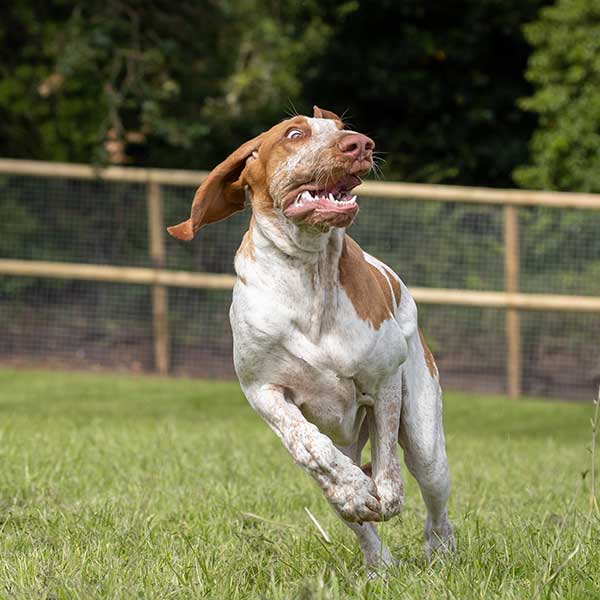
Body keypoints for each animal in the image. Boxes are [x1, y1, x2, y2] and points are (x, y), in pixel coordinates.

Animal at [169, 105, 454, 568]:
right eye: (294, 134)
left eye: (340, 129)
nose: (361, 144)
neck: (308, 276)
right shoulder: (263, 391)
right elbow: (310, 447)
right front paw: (353, 490)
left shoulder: (384, 382)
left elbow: (388, 462)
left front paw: (385, 492)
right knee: (345, 500)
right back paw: (378, 561)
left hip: (427, 441)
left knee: (435, 502)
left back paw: (439, 554)